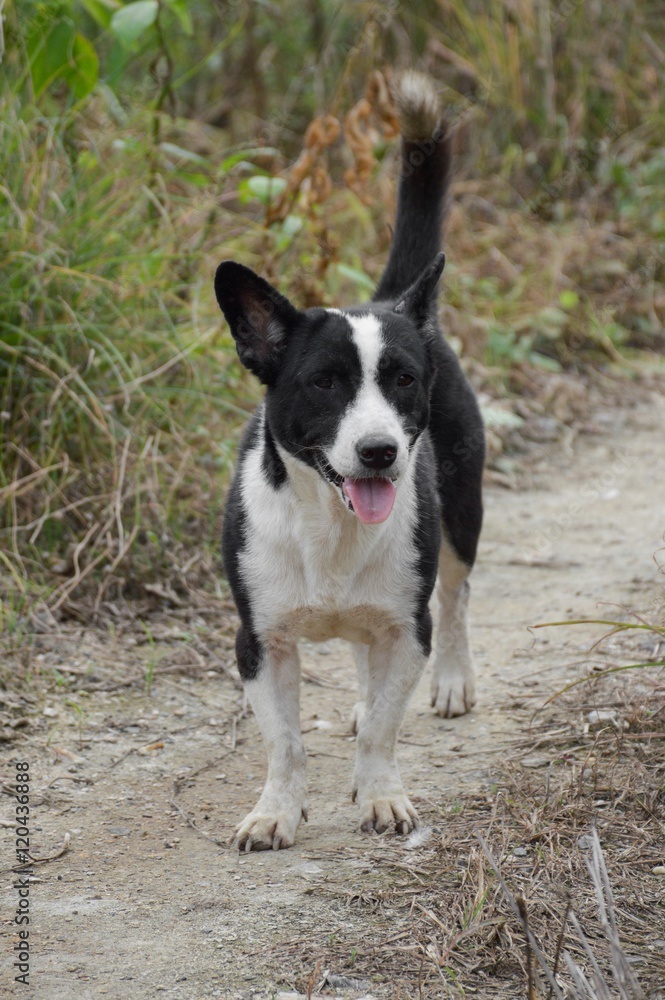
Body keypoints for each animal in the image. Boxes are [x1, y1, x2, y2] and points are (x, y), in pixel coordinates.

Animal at [215, 72, 486, 852]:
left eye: (402, 380)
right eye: (324, 383)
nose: (379, 452)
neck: (331, 530)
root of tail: (394, 298)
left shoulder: (405, 625)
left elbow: (384, 730)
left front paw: (381, 796)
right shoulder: (261, 642)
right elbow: (286, 742)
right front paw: (276, 811)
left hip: (460, 516)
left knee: (454, 597)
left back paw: (450, 679)